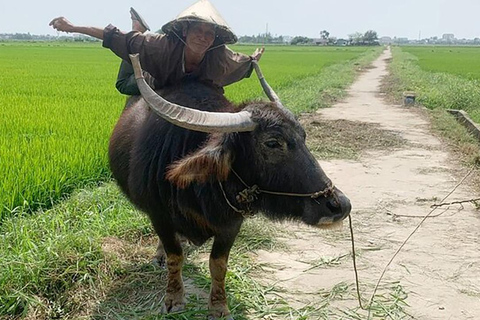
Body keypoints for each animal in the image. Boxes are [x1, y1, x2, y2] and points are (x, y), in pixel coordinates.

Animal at [108, 53, 348, 318]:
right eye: (273, 143)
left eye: (303, 137)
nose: (339, 205)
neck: (200, 189)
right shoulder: (158, 215)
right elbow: (175, 257)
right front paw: (173, 299)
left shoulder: (231, 223)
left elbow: (218, 265)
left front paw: (219, 306)